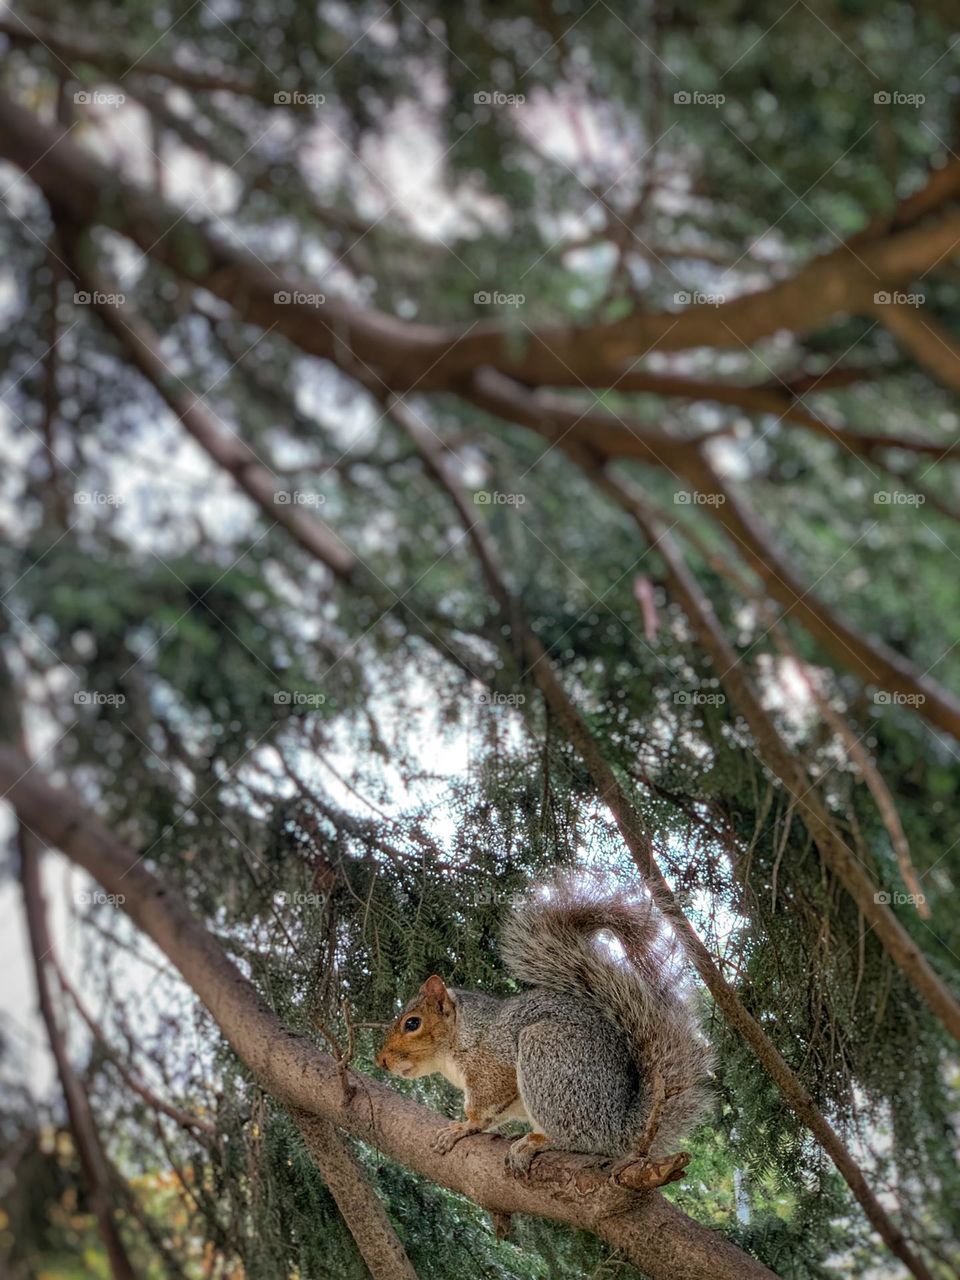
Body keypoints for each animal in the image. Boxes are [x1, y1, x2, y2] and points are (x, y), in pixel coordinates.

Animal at [376, 875, 716, 1182]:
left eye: (412, 1023)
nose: (381, 1061)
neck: (463, 1036)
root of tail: (619, 1128)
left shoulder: (492, 1065)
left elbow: (484, 1108)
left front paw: (462, 1127)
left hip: (547, 1057)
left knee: (578, 1138)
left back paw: (537, 1141)